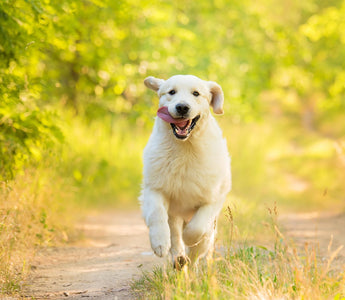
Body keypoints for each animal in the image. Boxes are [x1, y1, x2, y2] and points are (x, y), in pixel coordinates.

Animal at [140, 74, 231, 268]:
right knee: (174, 234)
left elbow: (197, 227)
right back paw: (179, 258)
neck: (185, 147)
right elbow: (157, 214)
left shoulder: (214, 197)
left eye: (196, 93)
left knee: (202, 244)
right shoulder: (154, 188)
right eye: (171, 92)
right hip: (174, 215)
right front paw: (159, 243)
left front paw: (190, 239)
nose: (182, 107)